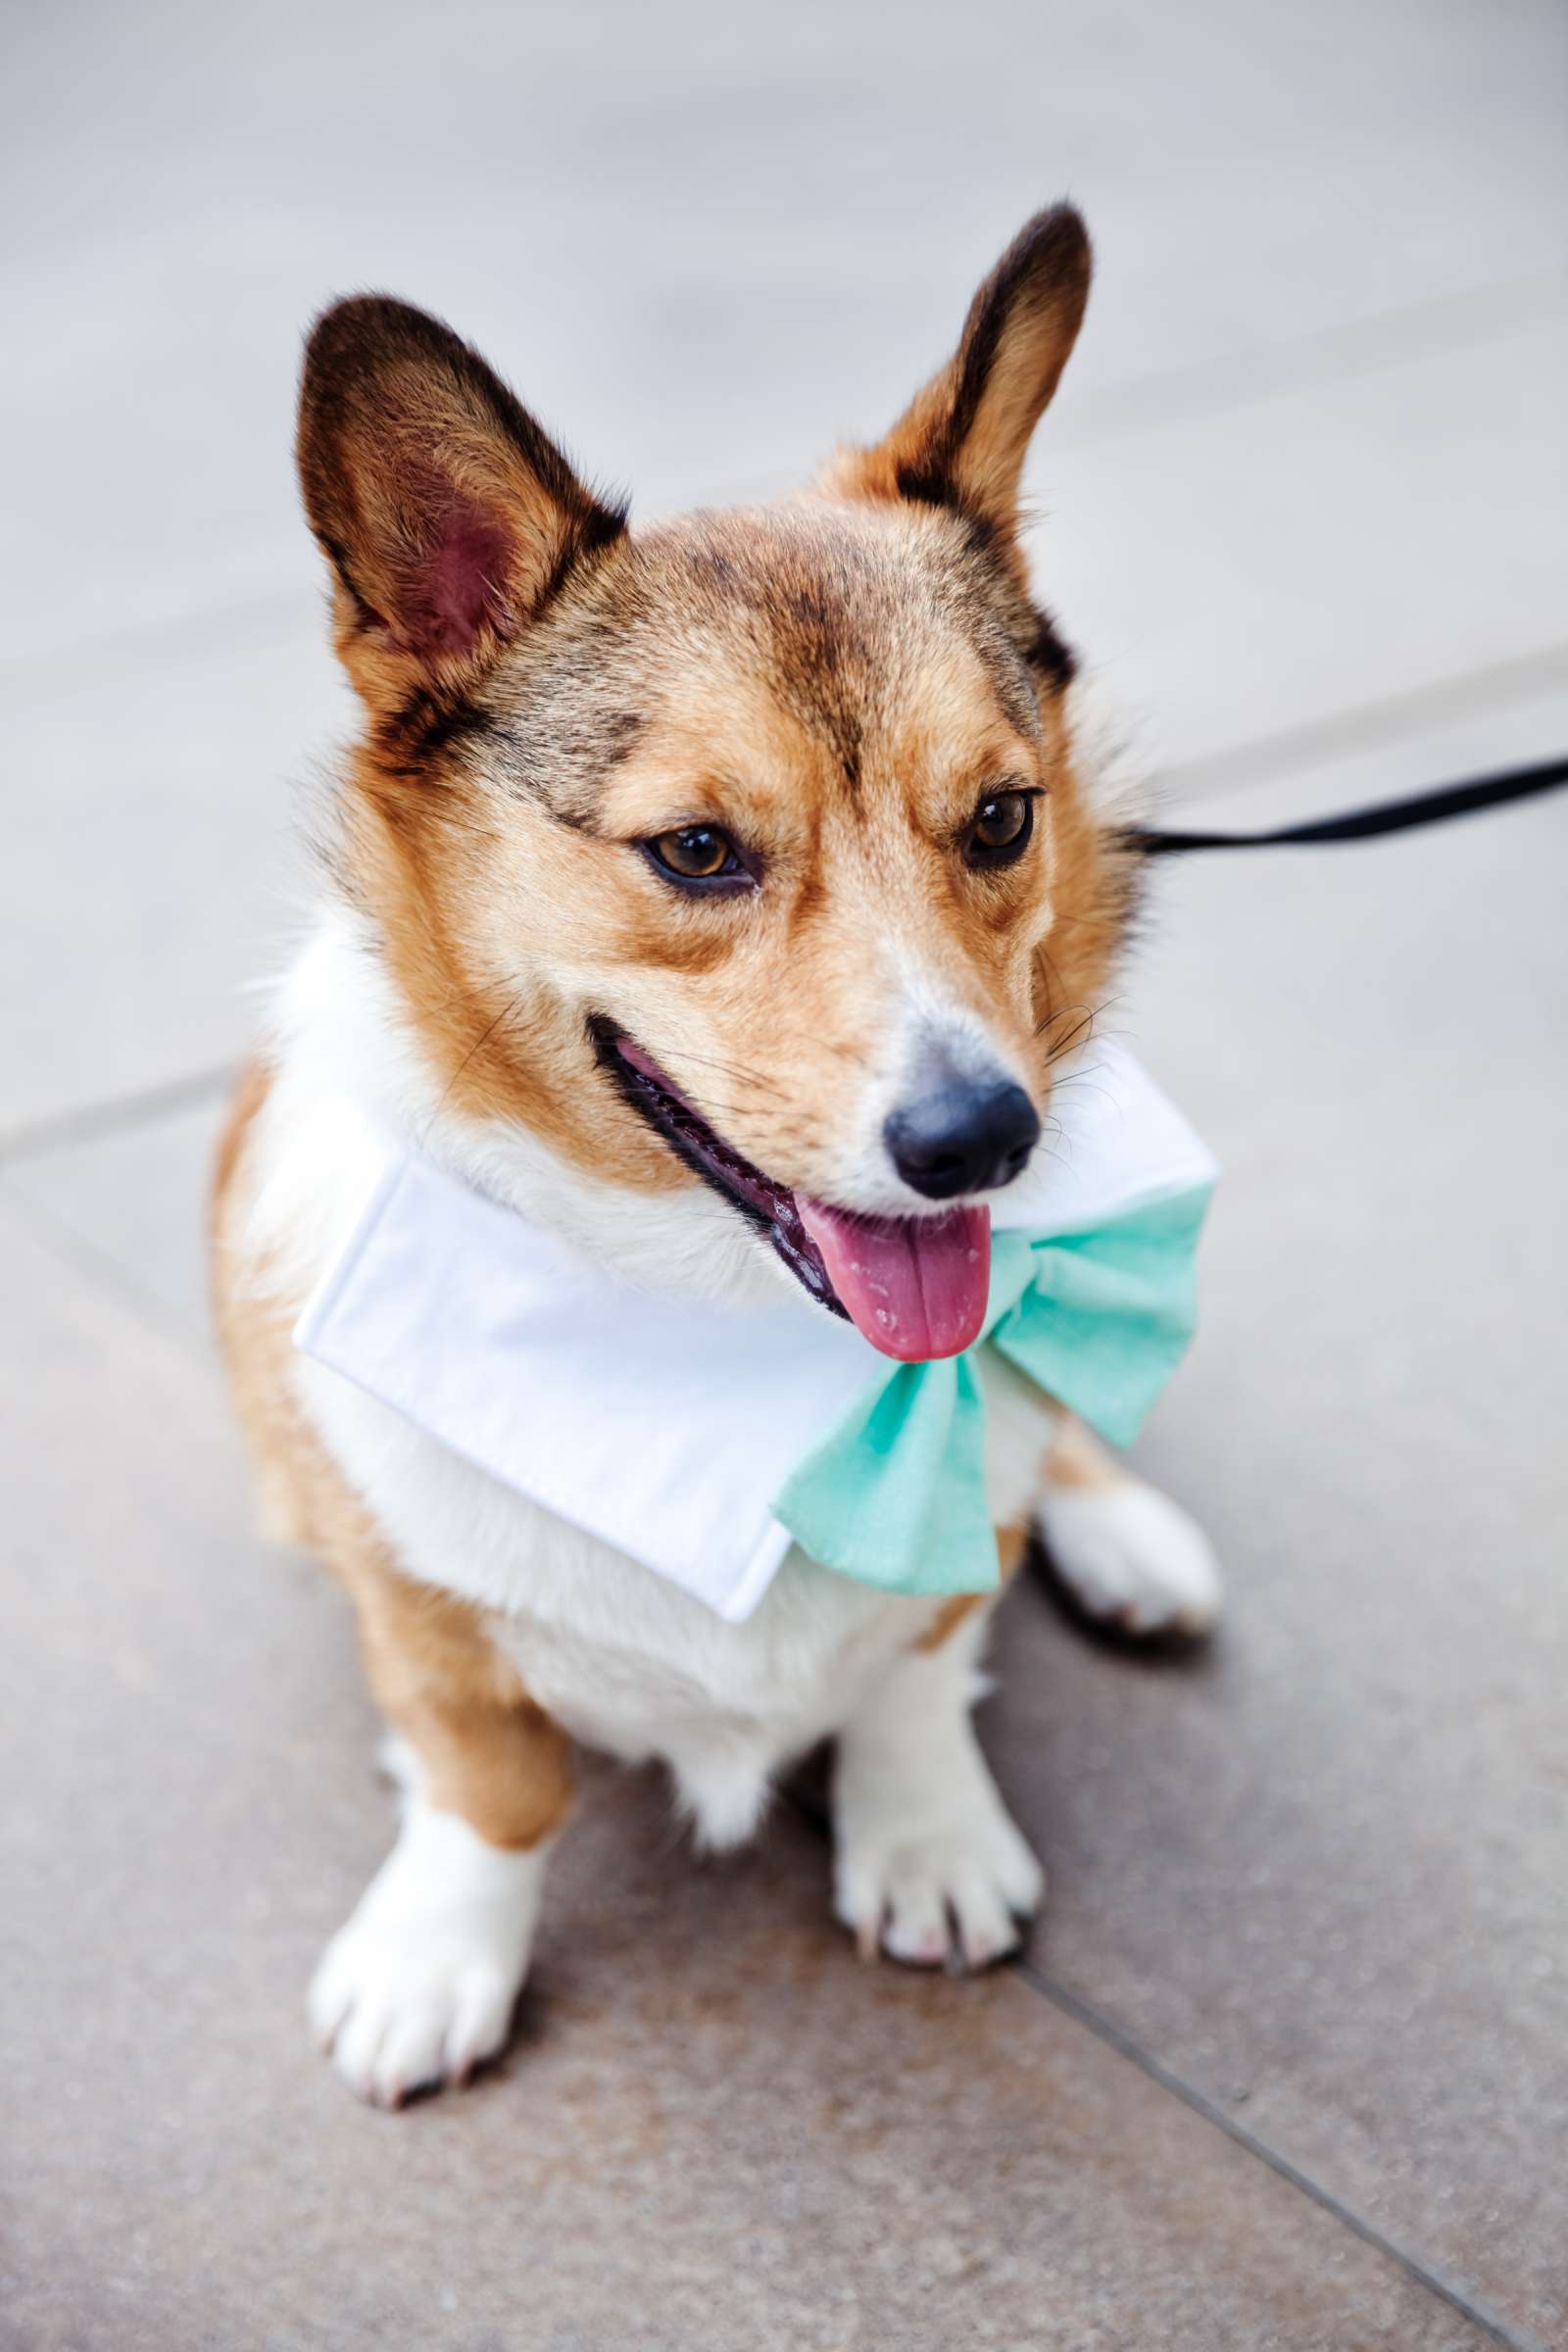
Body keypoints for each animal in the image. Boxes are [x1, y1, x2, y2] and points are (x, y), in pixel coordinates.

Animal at [208, 207, 1222, 2117]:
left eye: (1000, 817)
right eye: (695, 852)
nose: (984, 1137)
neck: (723, 1342)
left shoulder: (944, 1559)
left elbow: (921, 1657)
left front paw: (926, 1841)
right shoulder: (421, 1611)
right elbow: (490, 1775)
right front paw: (434, 1957)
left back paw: (1136, 1542)